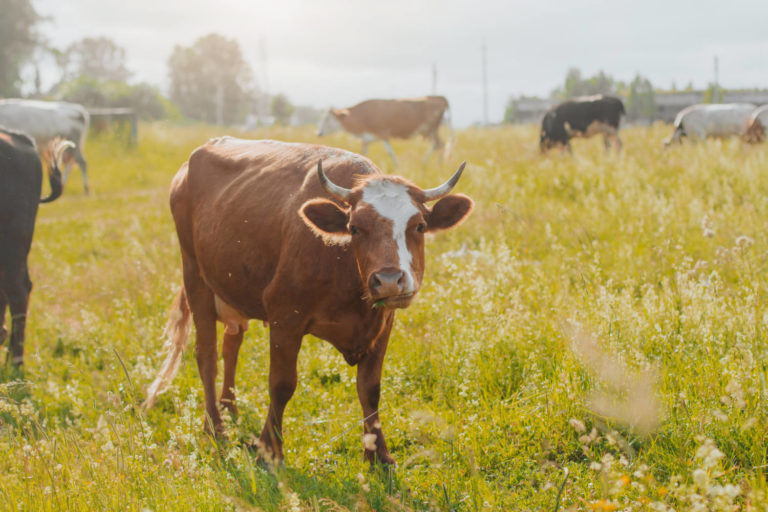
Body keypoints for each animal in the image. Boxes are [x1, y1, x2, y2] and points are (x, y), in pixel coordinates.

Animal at [141, 138, 472, 466]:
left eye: (419, 226)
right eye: (354, 227)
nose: (389, 279)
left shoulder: (383, 323)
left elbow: (370, 388)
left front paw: (379, 454)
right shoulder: (285, 316)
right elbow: (282, 384)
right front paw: (269, 450)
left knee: (230, 344)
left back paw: (229, 408)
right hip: (195, 277)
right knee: (207, 356)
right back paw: (215, 427)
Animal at [316, 97, 452, 165]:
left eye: (327, 119)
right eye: (321, 117)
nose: (318, 133)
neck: (362, 116)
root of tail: (440, 98)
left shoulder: (383, 134)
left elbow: (390, 152)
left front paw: (397, 166)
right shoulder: (366, 139)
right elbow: (363, 153)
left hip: (431, 129)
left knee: (438, 144)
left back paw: (431, 164)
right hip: (428, 131)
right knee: (439, 145)